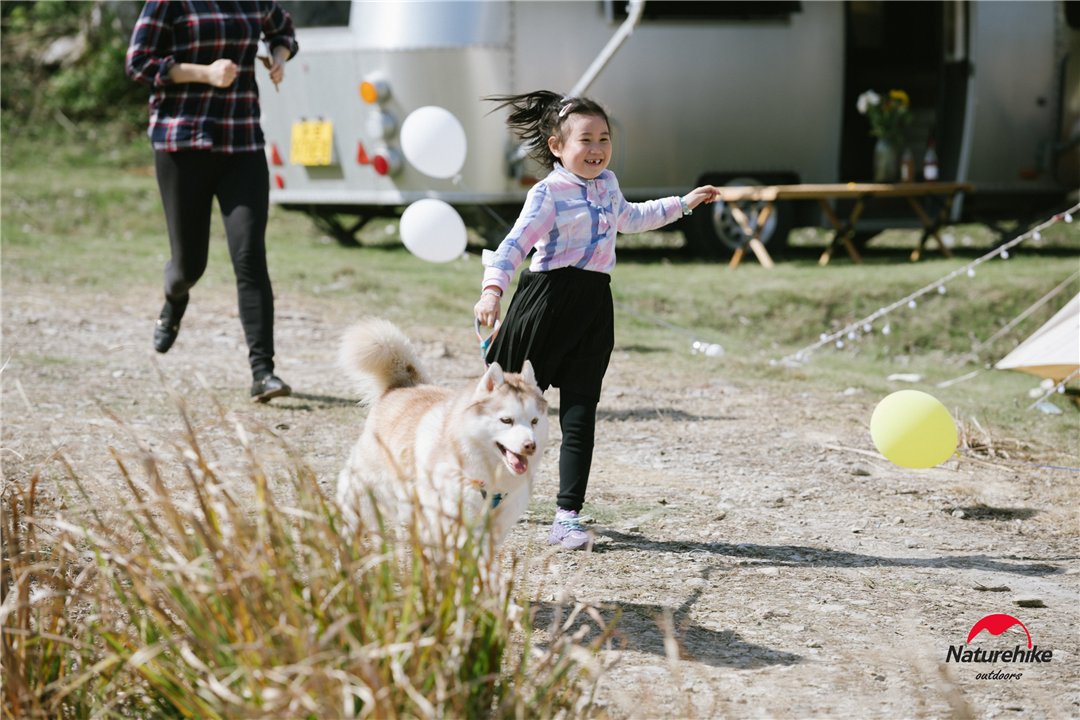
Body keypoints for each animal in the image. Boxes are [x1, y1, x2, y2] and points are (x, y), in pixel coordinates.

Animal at [336, 317, 548, 548]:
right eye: (507, 420)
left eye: (534, 421)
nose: (530, 446)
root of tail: (402, 386)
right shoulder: (454, 519)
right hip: (365, 487)